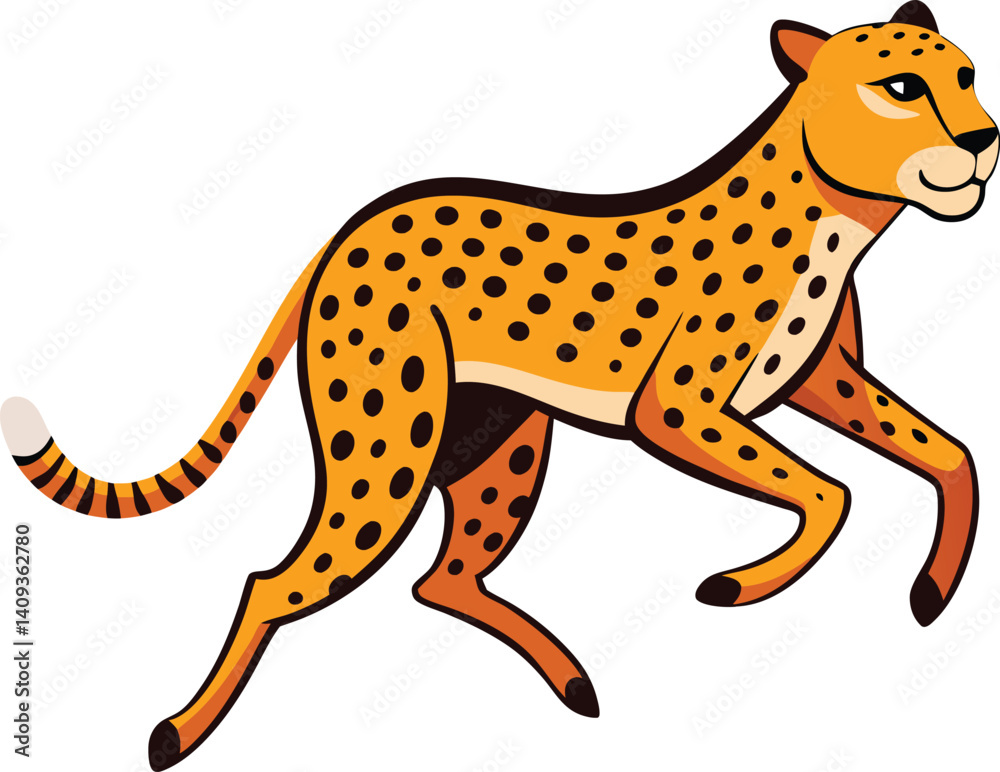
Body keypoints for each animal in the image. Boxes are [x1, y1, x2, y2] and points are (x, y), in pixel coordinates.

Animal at [2, 3, 994, 768]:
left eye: (969, 74)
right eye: (902, 89)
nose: (985, 141)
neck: (844, 209)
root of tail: (347, 231)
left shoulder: (826, 384)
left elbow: (949, 455)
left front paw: (935, 591)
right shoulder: (677, 412)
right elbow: (831, 494)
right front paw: (743, 585)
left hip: (503, 447)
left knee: (439, 581)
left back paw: (572, 679)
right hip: (387, 463)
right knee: (272, 583)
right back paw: (180, 732)